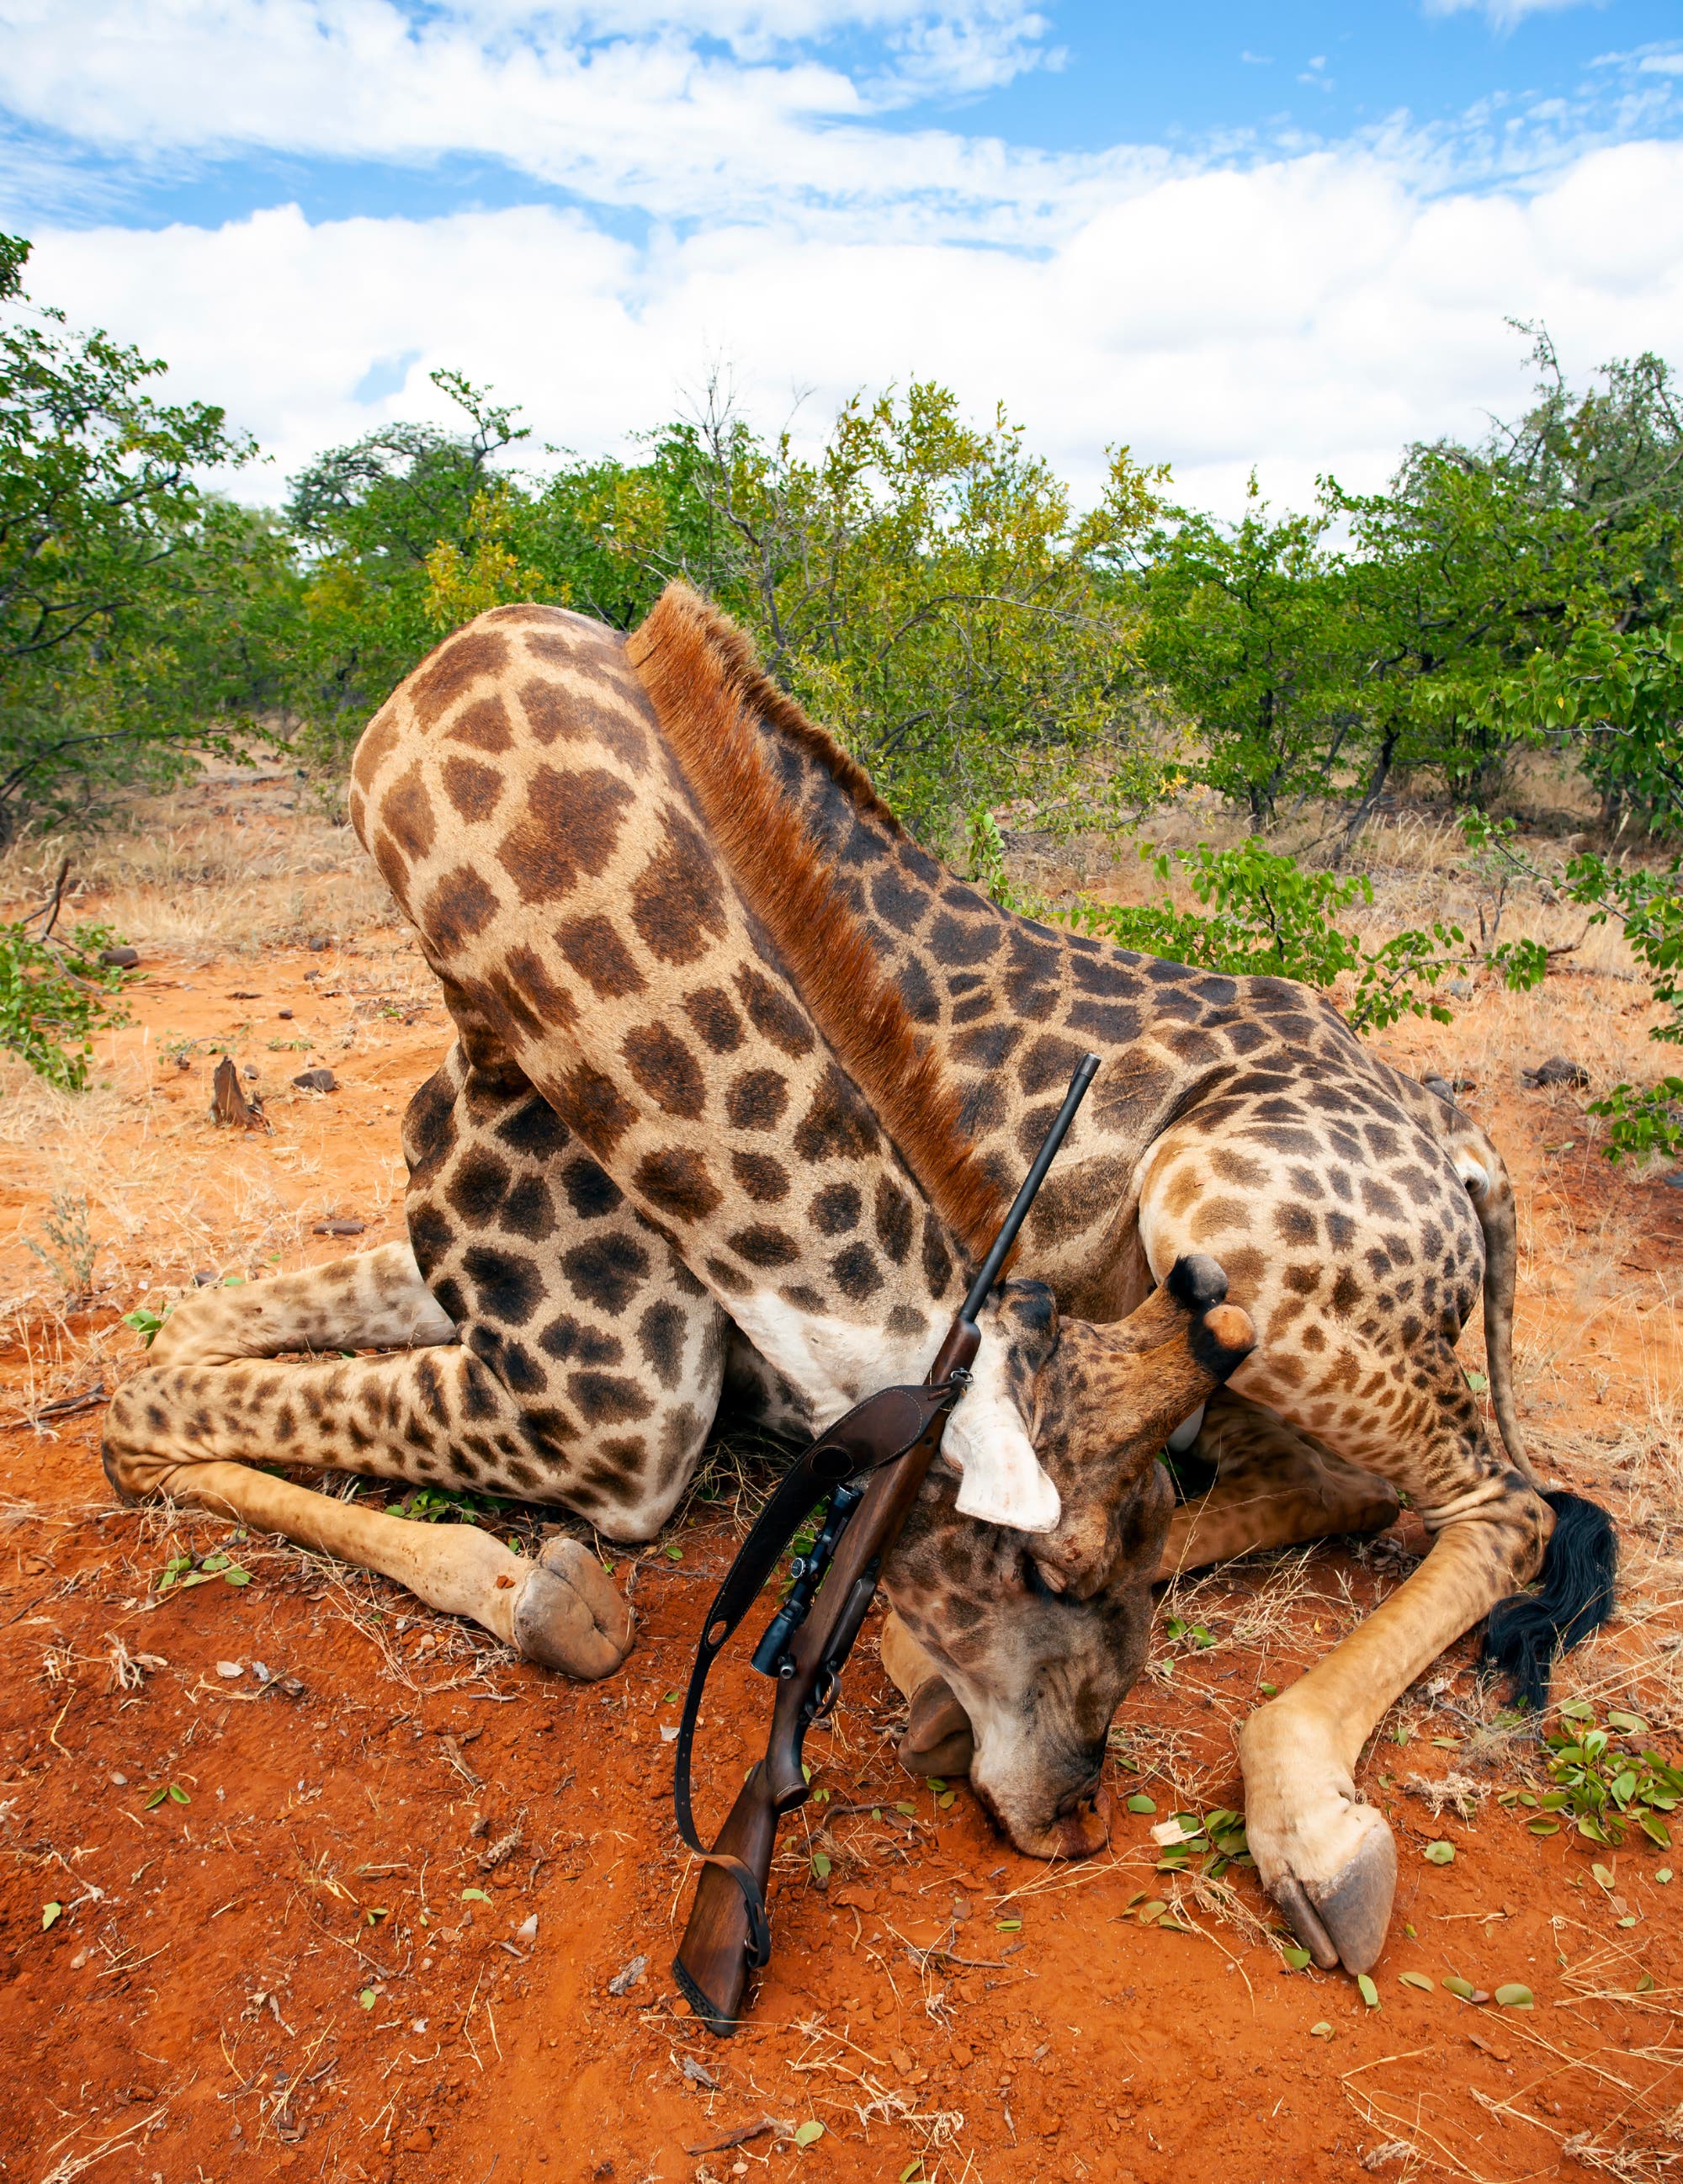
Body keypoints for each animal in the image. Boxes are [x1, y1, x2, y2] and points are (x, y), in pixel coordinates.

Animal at [98, 581, 1615, 1983]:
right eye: (1051, 1570)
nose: (1074, 1821)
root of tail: (1462, 1141)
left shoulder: (613, 1422)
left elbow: (153, 1405)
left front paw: (549, 1593)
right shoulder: (497, 1317)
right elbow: (173, 1349)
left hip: (1217, 1210)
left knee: (1500, 1504)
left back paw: (1315, 1837)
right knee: (1350, 1486)